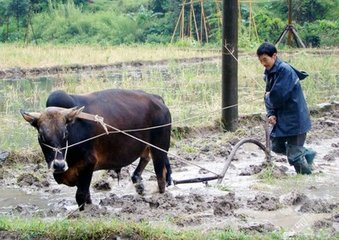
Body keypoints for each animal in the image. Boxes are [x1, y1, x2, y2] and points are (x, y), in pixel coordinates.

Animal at [20, 88, 173, 210]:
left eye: (65, 133)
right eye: (41, 135)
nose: (58, 165)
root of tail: (157, 99)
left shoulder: (88, 164)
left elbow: (81, 196)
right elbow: (86, 195)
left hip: (160, 149)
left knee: (161, 177)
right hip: (147, 146)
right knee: (144, 162)